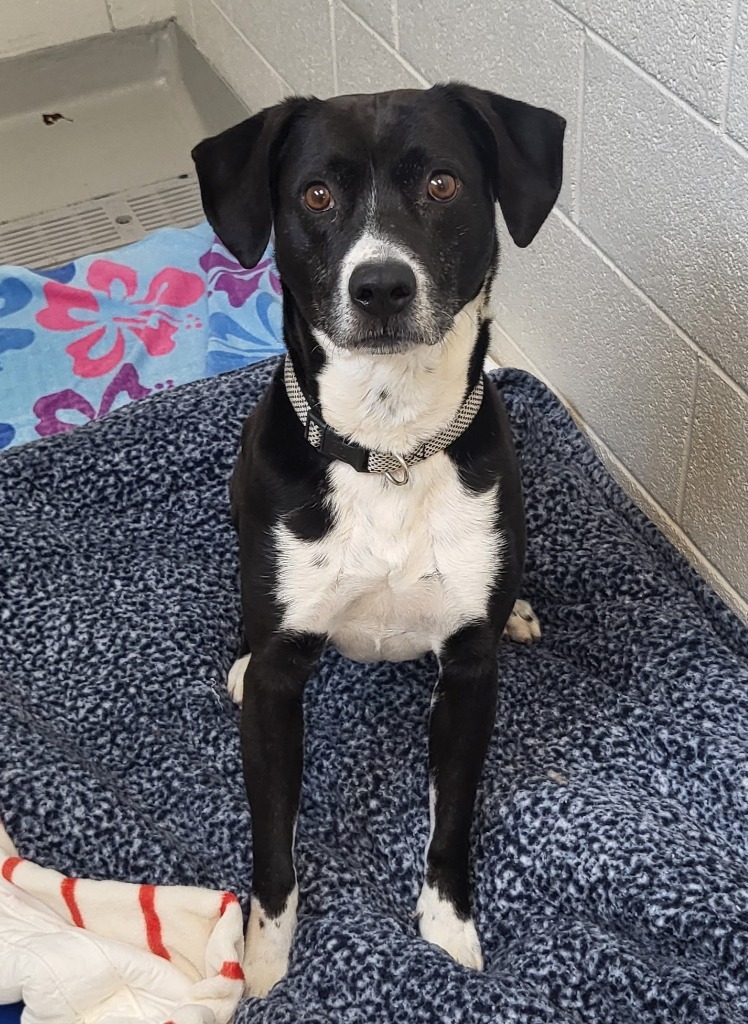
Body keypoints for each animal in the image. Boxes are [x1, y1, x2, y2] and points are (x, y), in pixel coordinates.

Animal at [189, 83, 561, 995]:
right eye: (317, 194)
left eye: (442, 184)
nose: (383, 287)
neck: (389, 443)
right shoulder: (281, 694)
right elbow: (274, 848)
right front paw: (263, 966)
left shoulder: (469, 676)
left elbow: (451, 820)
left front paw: (448, 937)